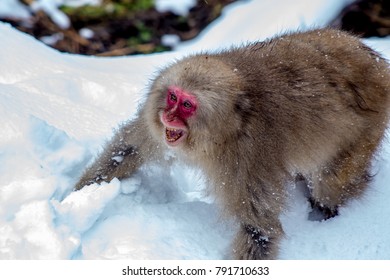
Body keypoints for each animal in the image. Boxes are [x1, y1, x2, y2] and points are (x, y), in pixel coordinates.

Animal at [74, 29, 390, 260]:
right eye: (173, 97)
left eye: (187, 105)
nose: (168, 115)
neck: (227, 129)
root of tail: (377, 62)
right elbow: (130, 149)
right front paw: (79, 195)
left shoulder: (247, 159)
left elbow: (258, 229)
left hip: (367, 130)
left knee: (330, 183)